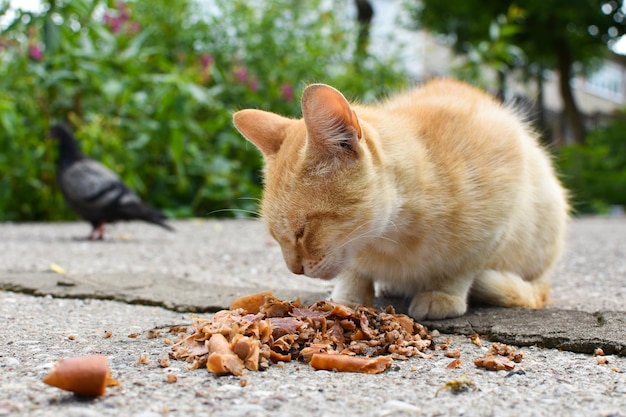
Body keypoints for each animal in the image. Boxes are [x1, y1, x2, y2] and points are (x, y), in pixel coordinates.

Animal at [233, 79, 564, 318]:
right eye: (276, 237)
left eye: (302, 231)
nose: (294, 270)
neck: (393, 239)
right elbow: (354, 271)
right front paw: (348, 297)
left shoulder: (494, 228)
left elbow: (460, 268)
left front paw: (442, 294)